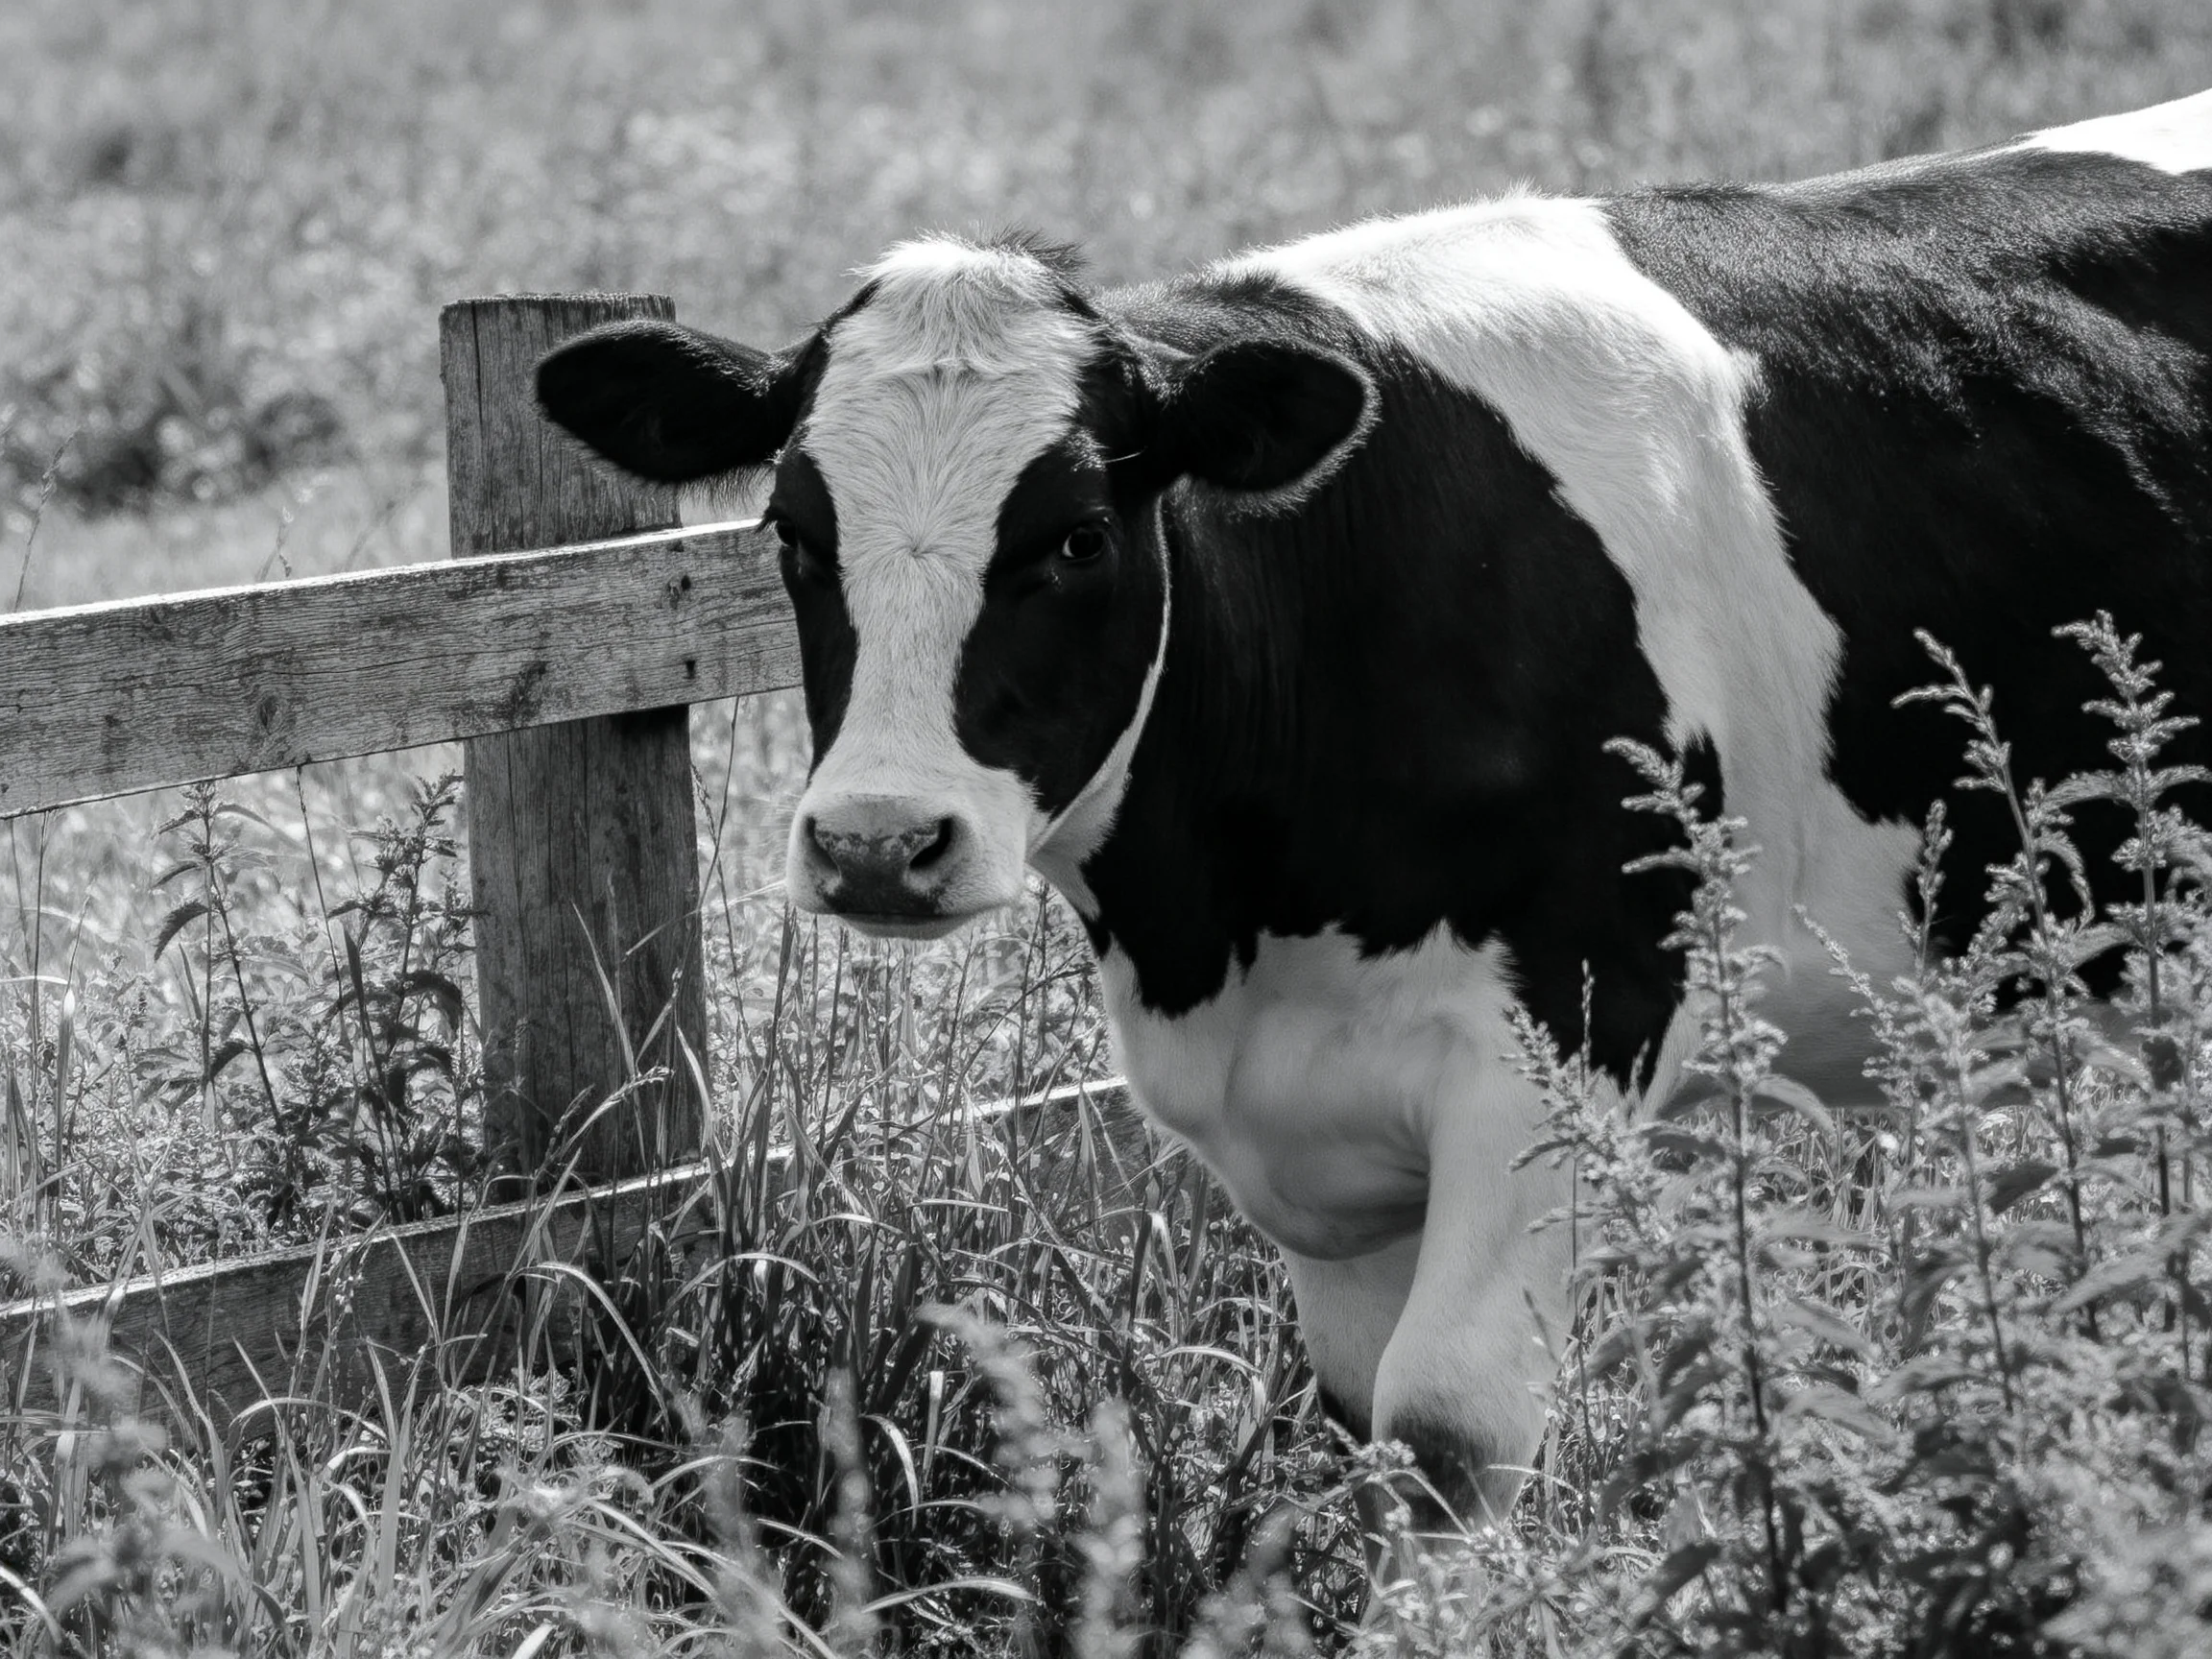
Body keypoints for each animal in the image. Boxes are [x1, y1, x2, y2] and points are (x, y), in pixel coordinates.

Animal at [534, 90, 2212, 1530]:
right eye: (792, 534)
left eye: (1078, 537)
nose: (879, 843)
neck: (1227, 929)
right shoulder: (1303, 1137)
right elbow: (1358, 1423)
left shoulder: (1563, 1047)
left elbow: (1447, 1434)